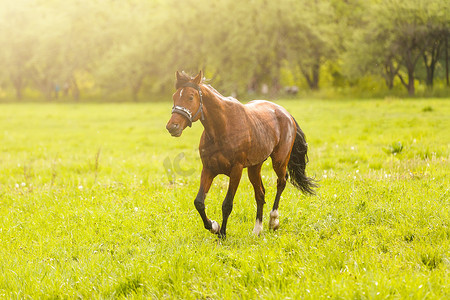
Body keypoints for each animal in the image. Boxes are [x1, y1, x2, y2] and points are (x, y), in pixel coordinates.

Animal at [166, 71, 316, 238]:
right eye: (174, 96)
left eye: (190, 97)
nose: (172, 126)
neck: (222, 128)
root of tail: (286, 113)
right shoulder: (208, 169)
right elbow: (199, 202)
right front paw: (213, 226)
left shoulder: (236, 170)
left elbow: (227, 204)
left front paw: (222, 233)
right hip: (254, 167)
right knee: (260, 193)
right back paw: (257, 229)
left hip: (279, 160)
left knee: (281, 182)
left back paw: (273, 221)